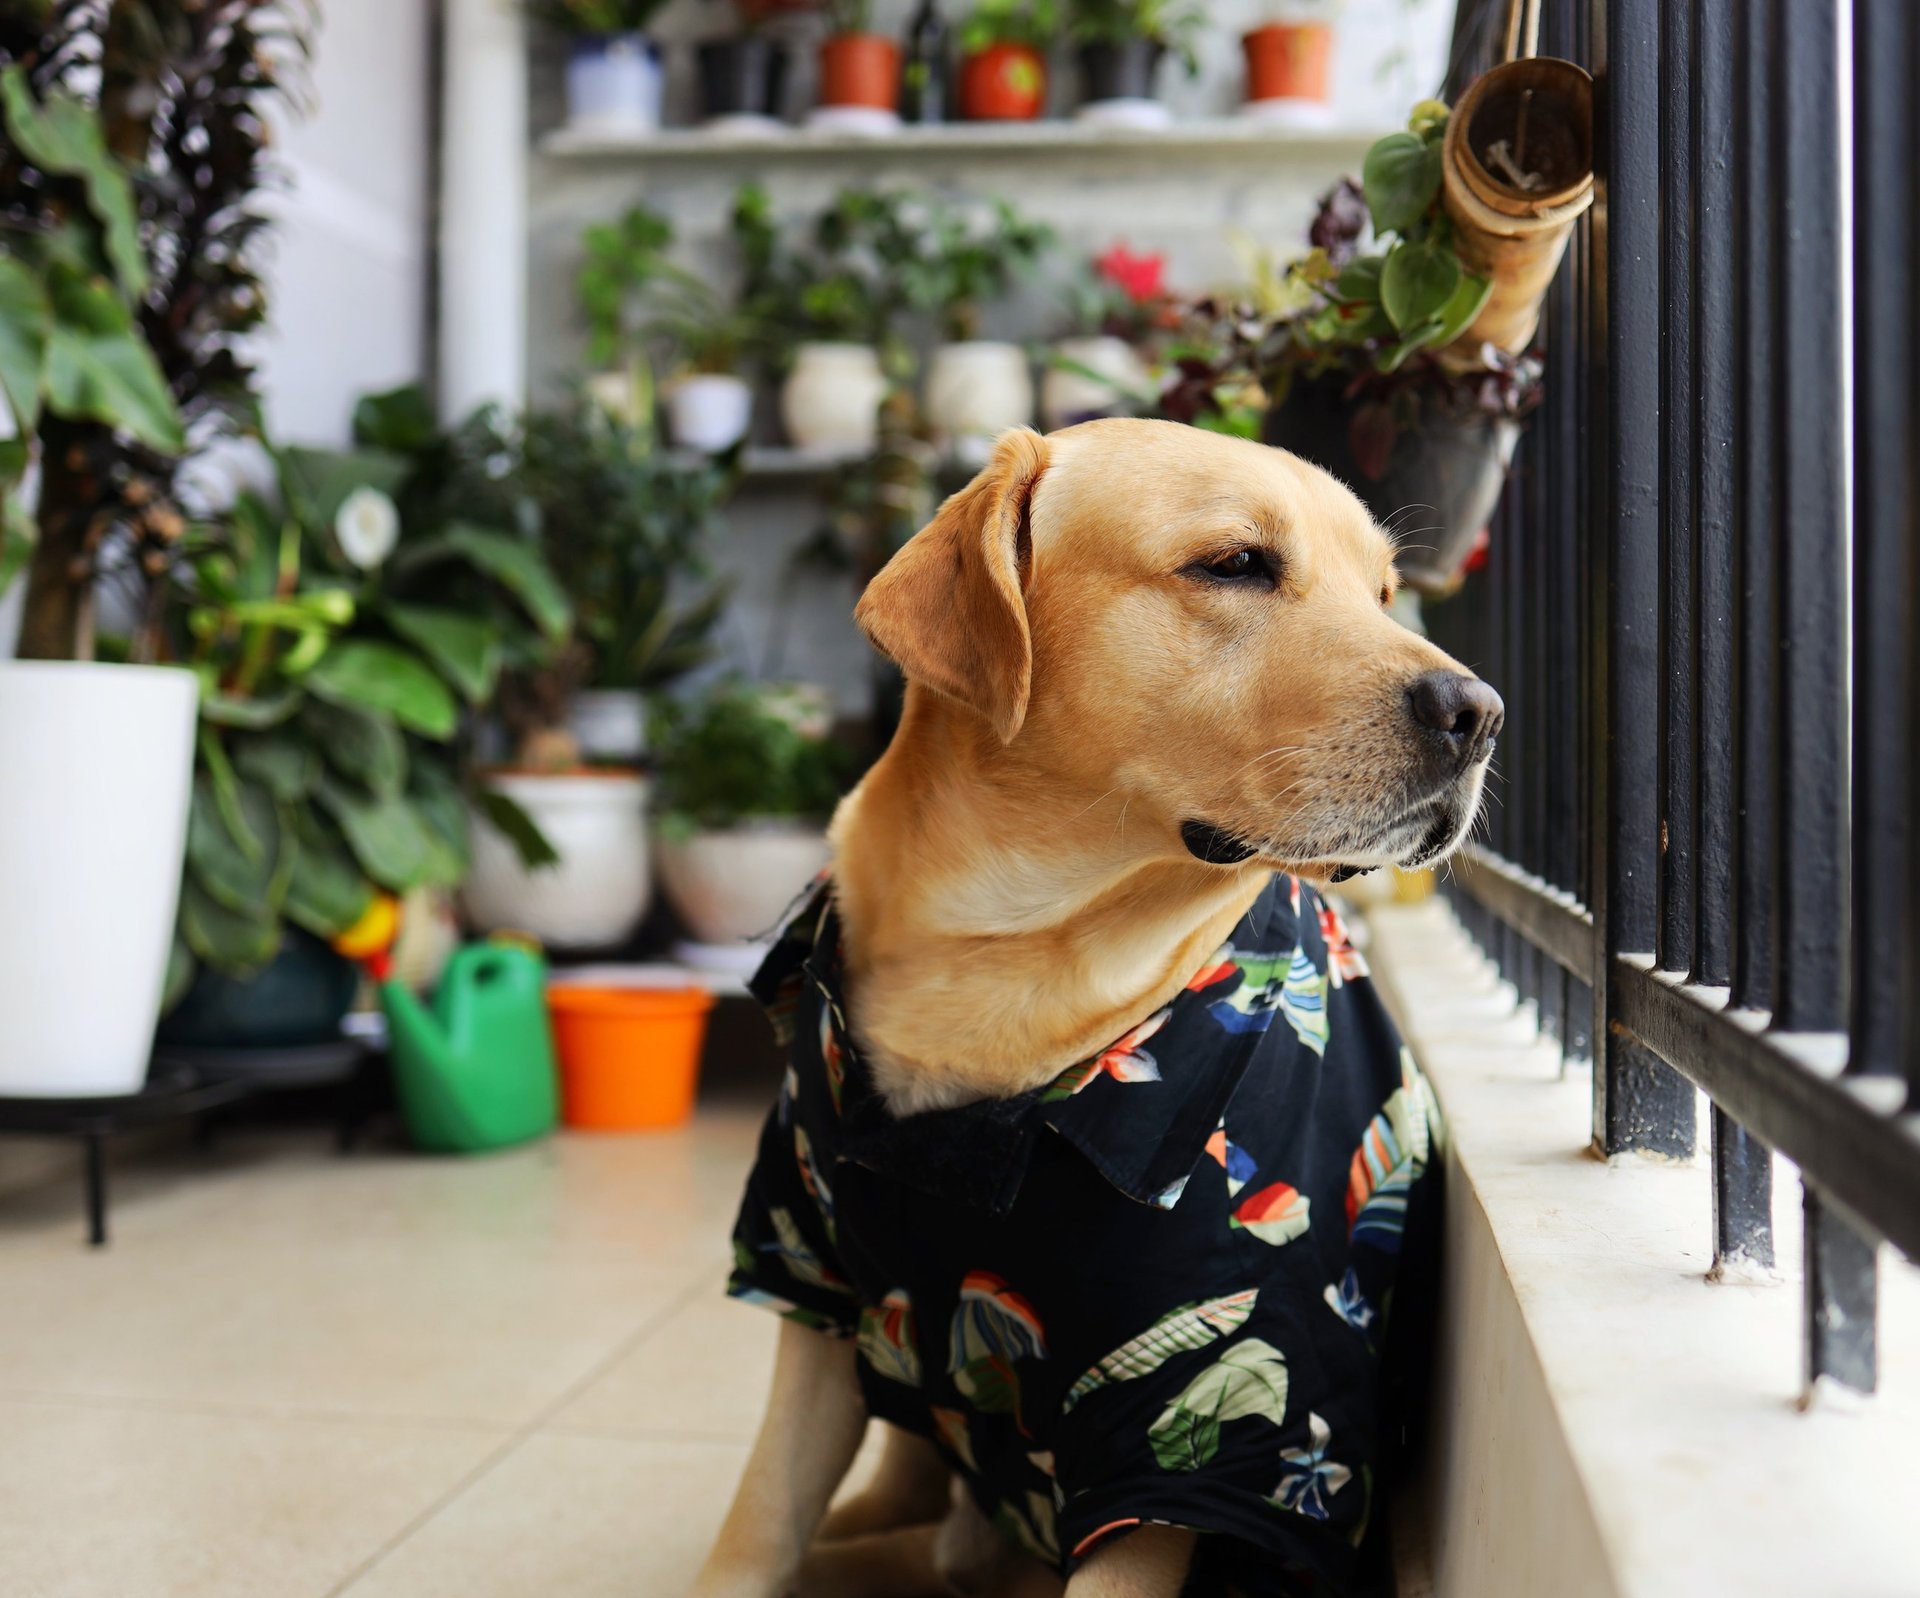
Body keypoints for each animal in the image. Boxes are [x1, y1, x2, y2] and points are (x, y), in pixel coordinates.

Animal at [690, 419, 1500, 1598]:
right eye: (1236, 563)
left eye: (1385, 590)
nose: (1479, 714)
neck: (997, 965)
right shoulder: (809, 1280)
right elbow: (757, 1524)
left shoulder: (1189, 1424)